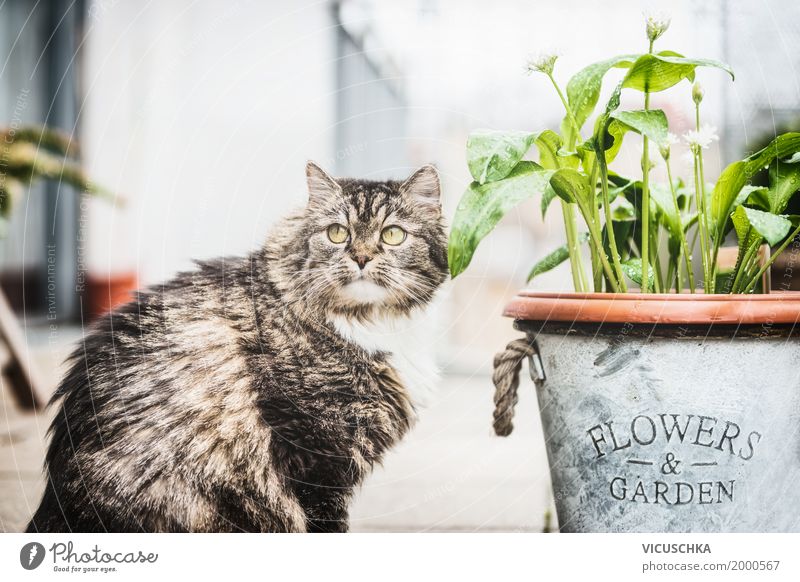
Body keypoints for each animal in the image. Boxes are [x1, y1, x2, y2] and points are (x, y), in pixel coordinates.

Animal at [25, 163, 446, 532]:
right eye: (337, 233)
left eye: (393, 235)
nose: (360, 257)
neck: (371, 322)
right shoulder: (312, 454)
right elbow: (325, 524)